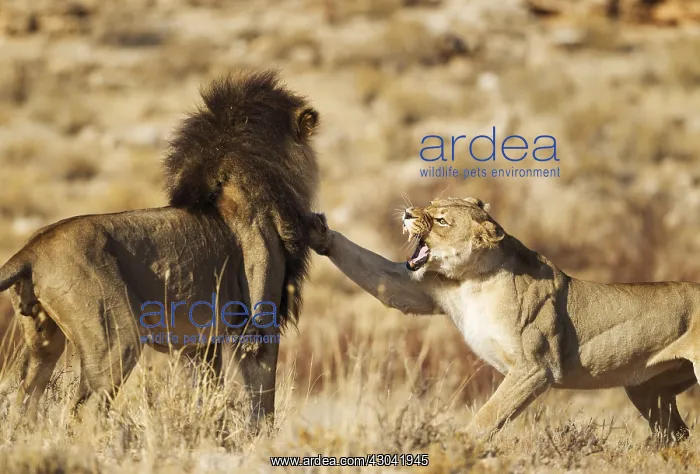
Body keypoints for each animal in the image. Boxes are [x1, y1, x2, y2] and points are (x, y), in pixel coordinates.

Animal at [0, 70, 320, 429]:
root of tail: (31, 249)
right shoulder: (260, 326)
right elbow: (262, 401)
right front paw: (258, 437)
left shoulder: (200, 343)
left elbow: (204, 391)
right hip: (117, 335)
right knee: (85, 408)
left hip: (42, 339)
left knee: (25, 397)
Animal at [306, 197, 700, 444]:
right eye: (429, 204)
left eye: (441, 219)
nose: (406, 213)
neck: (473, 280)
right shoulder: (416, 289)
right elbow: (373, 270)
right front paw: (318, 231)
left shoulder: (534, 369)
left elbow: (487, 416)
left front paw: (456, 448)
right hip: (647, 390)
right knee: (677, 434)